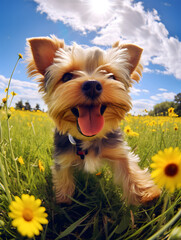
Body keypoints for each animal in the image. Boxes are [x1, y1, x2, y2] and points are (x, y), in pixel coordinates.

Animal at [26, 35, 160, 204]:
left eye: (111, 76)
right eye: (67, 77)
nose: (92, 85)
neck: (88, 138)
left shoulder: (117, 150)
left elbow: (128, 167)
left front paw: (146, 194)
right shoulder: (63, 156)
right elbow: (62, 173)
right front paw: (63, 199)